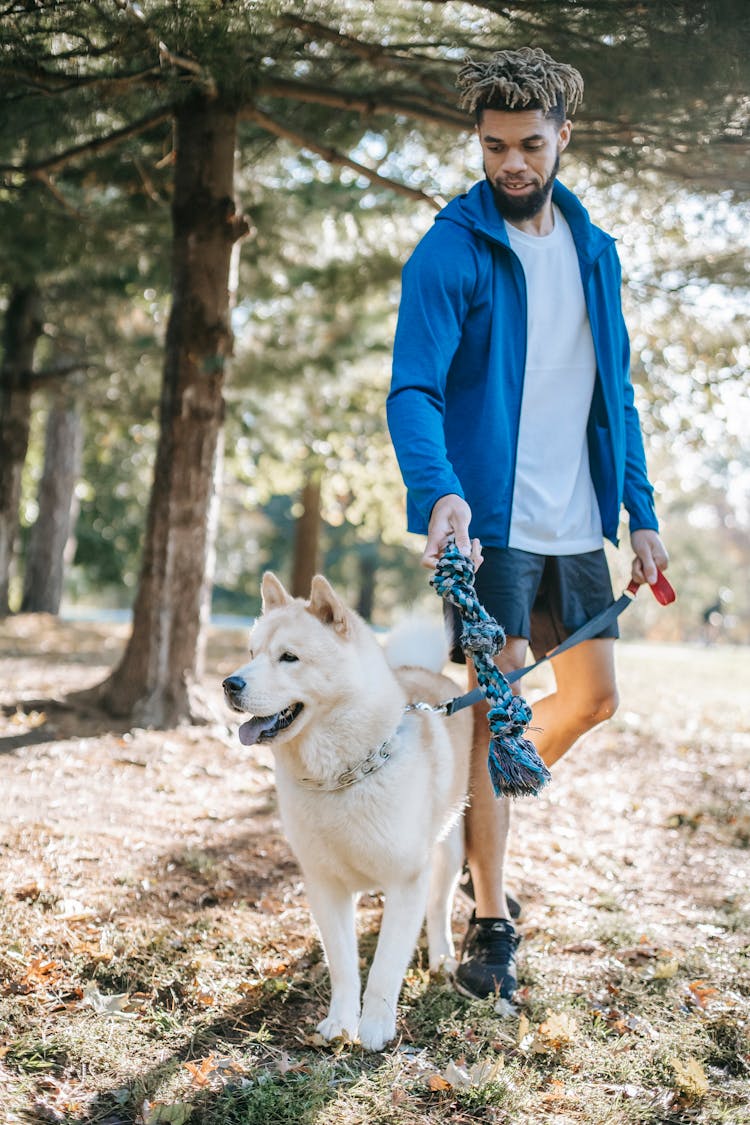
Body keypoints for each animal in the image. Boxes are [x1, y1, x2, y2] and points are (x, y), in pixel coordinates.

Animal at [221, 576, 474, 1048]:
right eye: (251, 653)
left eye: (289, 657)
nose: (229, 684)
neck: (341, 778)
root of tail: (423, 673)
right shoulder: (325, 886)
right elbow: (343, 963)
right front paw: (341, 1022)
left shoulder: (407, 881)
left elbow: (385, 967)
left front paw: (374, 1026)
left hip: (449, 851)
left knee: (439, 906)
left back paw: (443, 956)